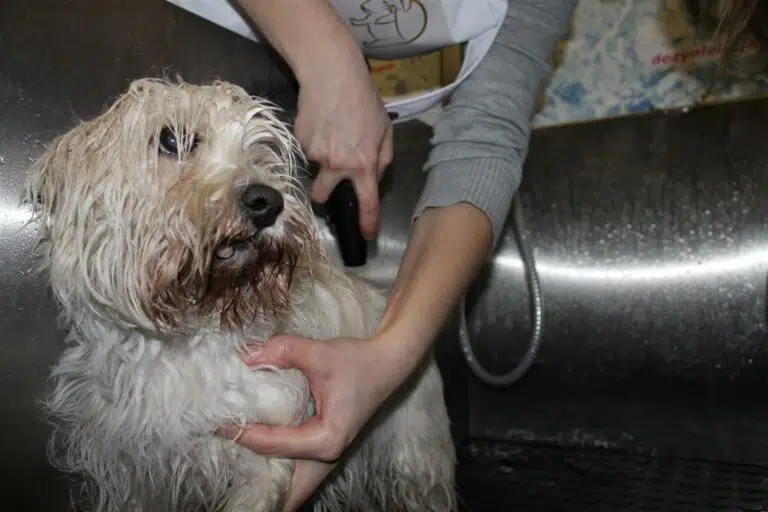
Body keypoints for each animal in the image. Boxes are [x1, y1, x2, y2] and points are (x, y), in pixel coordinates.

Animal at [24, 78, 456, 512]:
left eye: (260, 150)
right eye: (169, 140)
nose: (268, 201)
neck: (185, 338)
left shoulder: (263, 452)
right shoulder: (129, 471)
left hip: (416, 466)